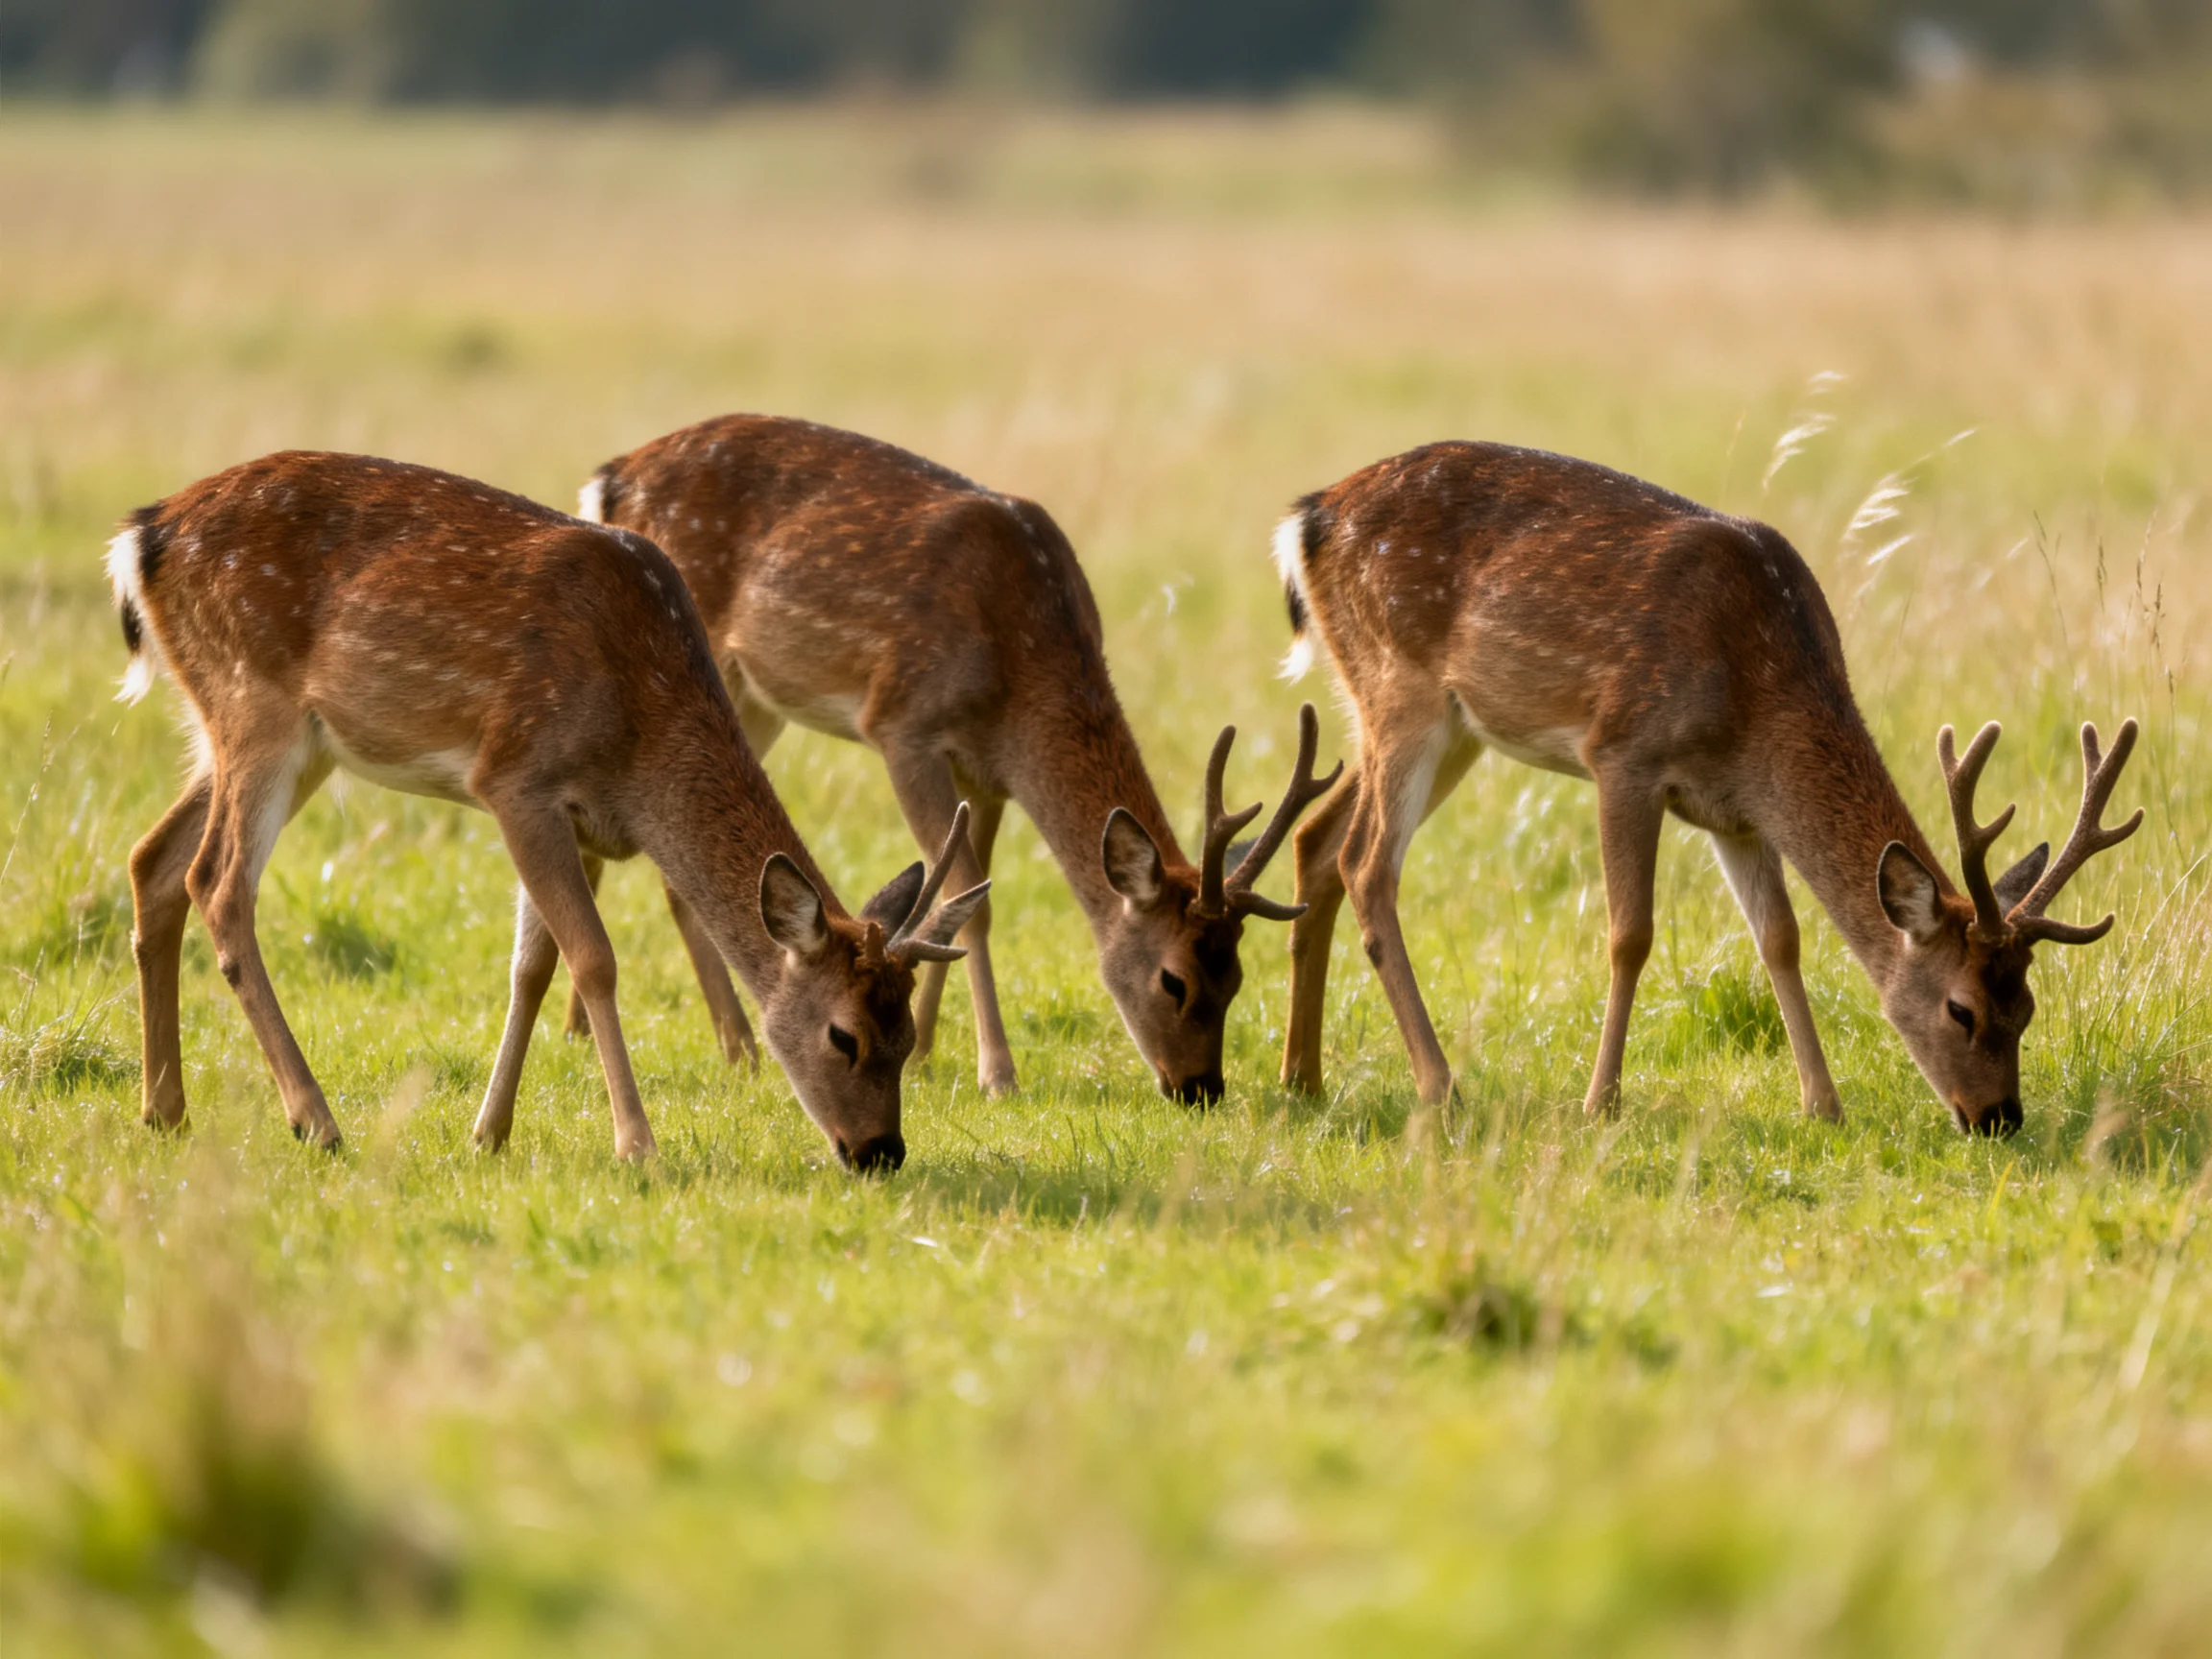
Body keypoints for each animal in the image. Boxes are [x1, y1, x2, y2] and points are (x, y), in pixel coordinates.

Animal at [106, 450, 986, 1169]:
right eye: (844, 1035)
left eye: (909, 1038)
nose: (880, 1152)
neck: (639, 741)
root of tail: (140, 540)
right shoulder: (514, 776)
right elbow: (592, 957)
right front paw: (637, 1146)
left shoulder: (559, 811)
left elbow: (530, 965)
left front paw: (488, 1132)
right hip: (256, 703)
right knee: (217, 883)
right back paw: (314, 1120)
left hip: (273, 735)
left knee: (152, 859)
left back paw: (164, 1109)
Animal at [568, 414, 1338, 1102]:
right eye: (1172, 979)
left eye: (1237, 978)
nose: (1200, 1088)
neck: (1022, 665)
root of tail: (608, 479)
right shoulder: (902, 723)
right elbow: (974, 901)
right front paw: (997, 1073)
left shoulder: (986, 771)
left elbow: (957, 898)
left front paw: (926, 1050)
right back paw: (698, 1046)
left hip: (750, 699)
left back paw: (646, 1040)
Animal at [1272, 441, 2140, 1135]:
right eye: (1962, 1009)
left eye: (2027, 1009)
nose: (1998, 1118)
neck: (1757, 704)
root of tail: (1308, 519)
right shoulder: (1623, 752)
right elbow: (1630, 934)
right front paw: (1601, 1103)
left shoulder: (1737, 815)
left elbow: (1780, 939)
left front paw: (1824, 1105)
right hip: (1401, 685)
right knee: (1366, 863)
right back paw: (1440, 1086)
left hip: (1444, 724)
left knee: (1318, 838)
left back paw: (1301, 1078)